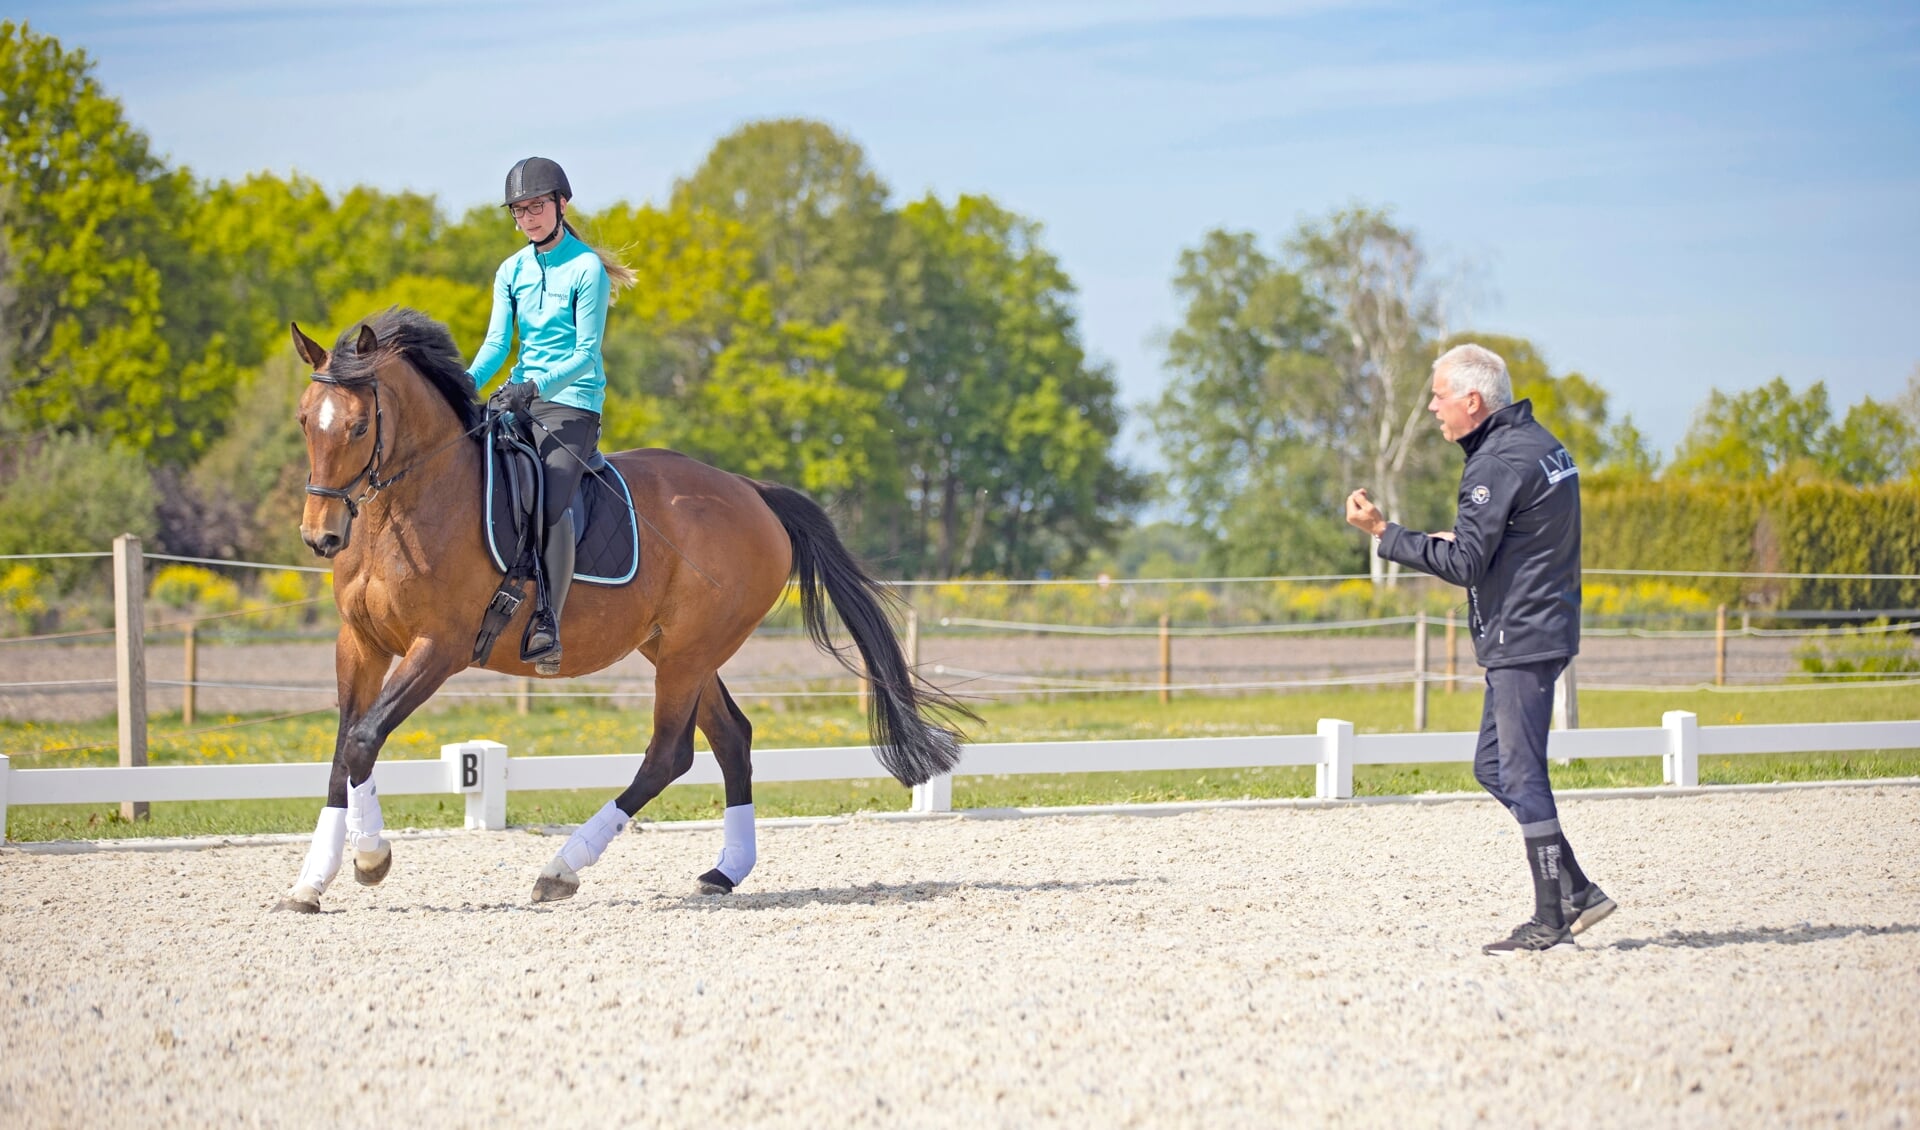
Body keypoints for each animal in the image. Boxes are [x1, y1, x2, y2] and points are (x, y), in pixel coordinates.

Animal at [278, 312, 967, 913]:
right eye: (306, 421)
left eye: (359, 428)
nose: (321, 536)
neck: (409, 507)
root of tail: (751, 492)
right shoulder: (360, 643)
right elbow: (342, 751)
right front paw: (312, 881)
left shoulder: (439, 647)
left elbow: (364, 739)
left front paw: (372, 859)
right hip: (679, 649)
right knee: (732, 739)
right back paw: (723, 873)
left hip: (688, 652)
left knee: (669, 754)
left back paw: (561, 869)